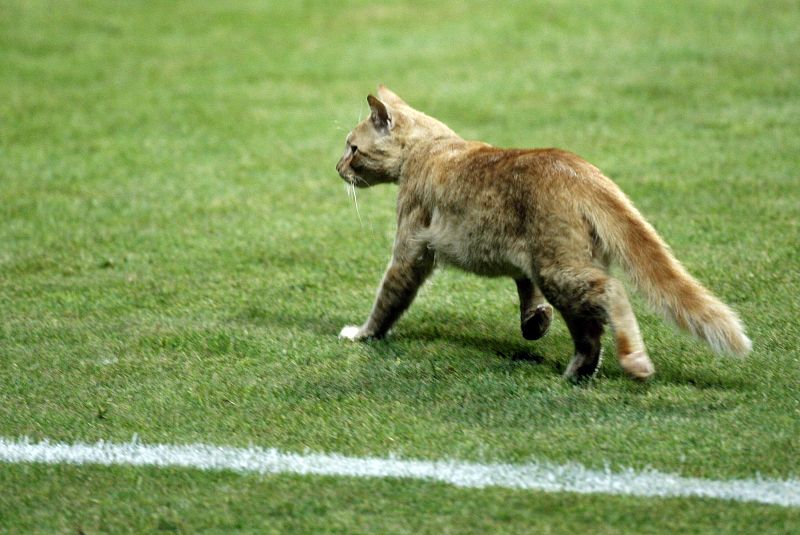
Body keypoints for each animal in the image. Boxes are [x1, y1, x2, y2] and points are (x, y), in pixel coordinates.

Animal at [334, 85, 752, 382]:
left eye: (353, 149)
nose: (337, 167)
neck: (432, 146)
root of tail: (586, 175)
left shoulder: (412, 250)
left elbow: (388, 299)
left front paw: (362, 333)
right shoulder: (521, 258)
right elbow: (527, 293)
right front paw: (534, 322)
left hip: (559, 269)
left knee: (610, 293)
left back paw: (633, 362)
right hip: (557, 263)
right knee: (590, 329)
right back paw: (579, 372)